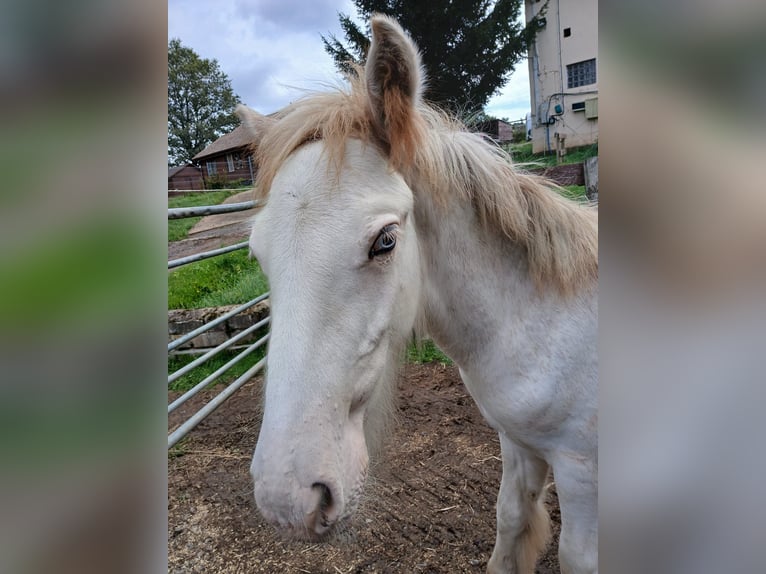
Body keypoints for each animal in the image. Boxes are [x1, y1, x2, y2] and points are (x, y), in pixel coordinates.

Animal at [240, 14, 600, 574]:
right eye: (258, 252)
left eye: (386, 240)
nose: (287, 499)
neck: (543, 324)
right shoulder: (518, 443)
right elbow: (510, 518)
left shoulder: (582, 469)